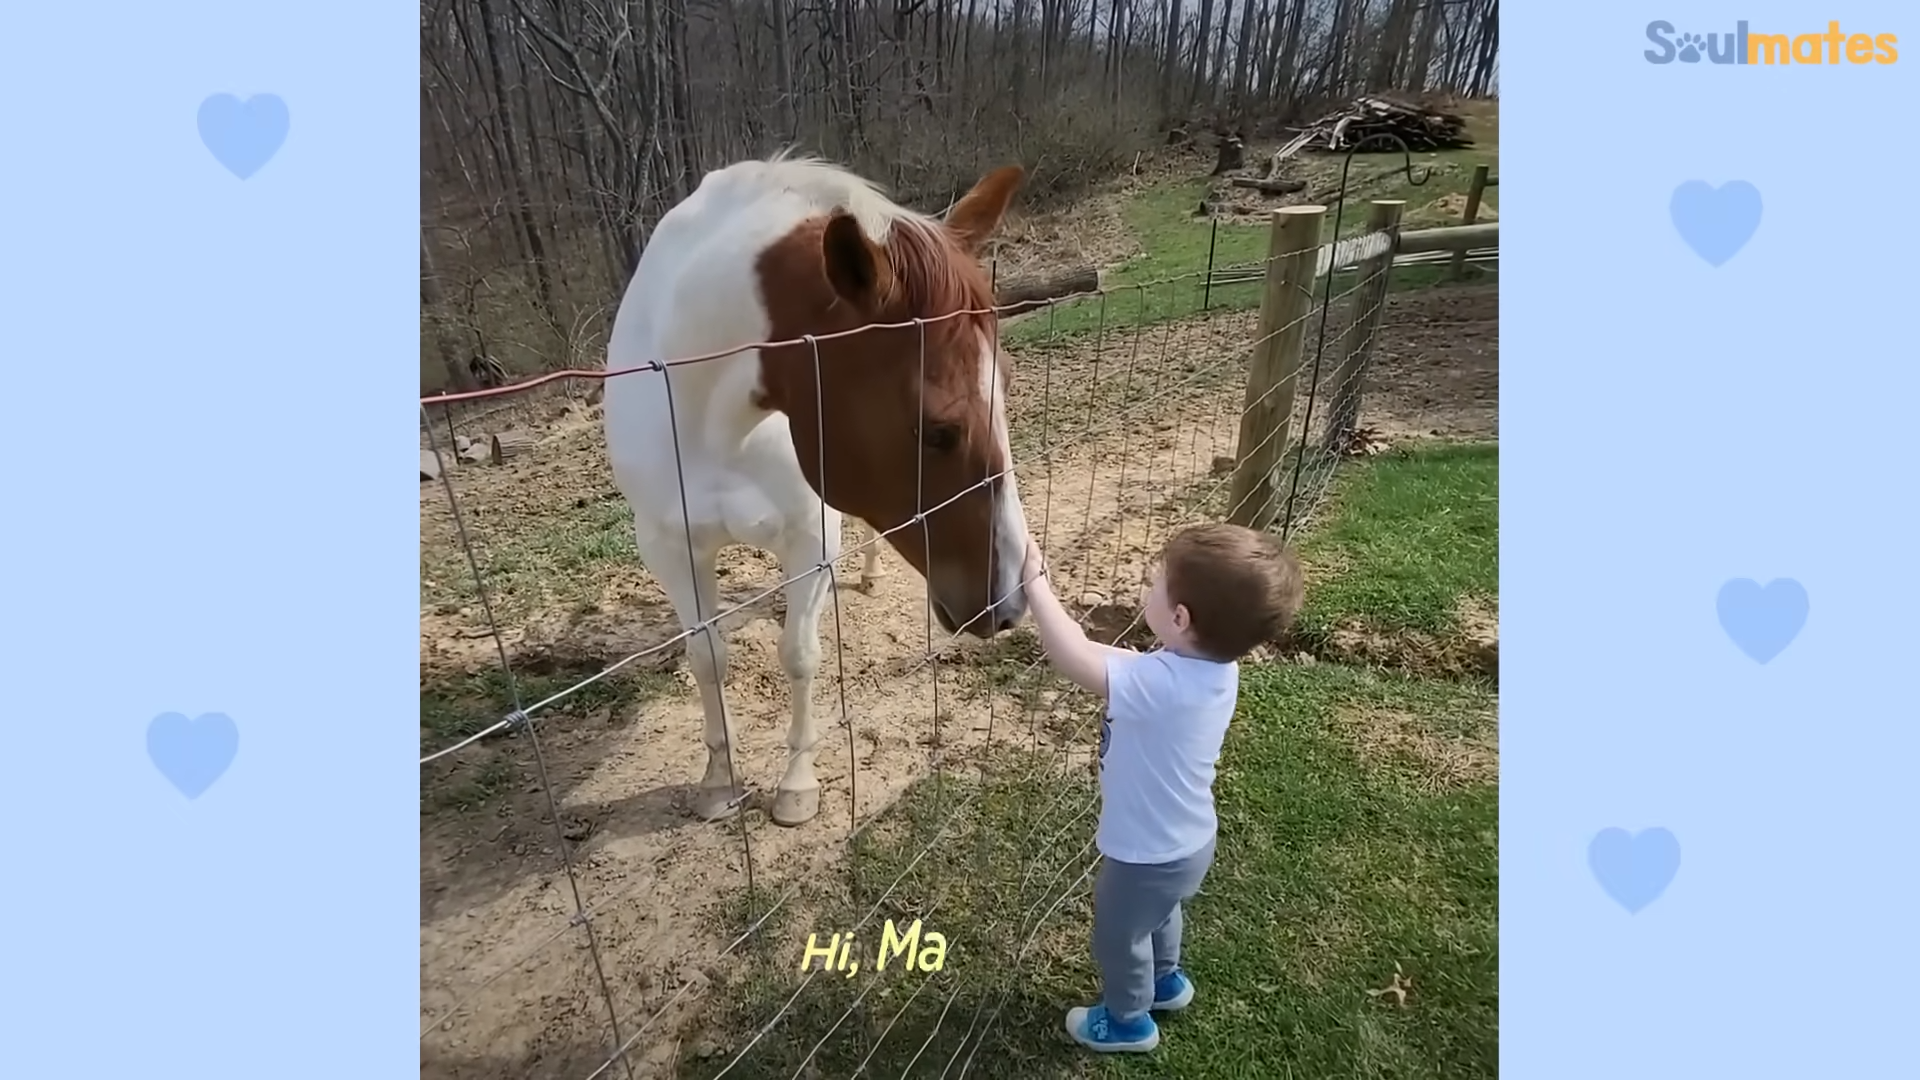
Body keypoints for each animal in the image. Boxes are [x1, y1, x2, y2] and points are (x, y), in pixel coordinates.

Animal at [606, 153, 1036, 822]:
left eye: (1008, 386)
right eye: (937, 430)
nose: (1010, 603)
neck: (703, 413)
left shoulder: (811, 537)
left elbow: (798, 655)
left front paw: (796, 784)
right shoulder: (669, 549)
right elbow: (707, 658)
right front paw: (719, 781)